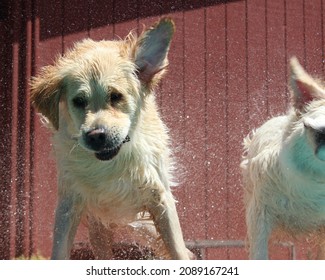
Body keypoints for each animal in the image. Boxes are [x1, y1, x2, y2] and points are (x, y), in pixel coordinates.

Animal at [29, 18, 192, 260]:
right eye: (79, 101)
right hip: (99, 226)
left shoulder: (159, 197)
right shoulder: (69, 203)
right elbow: (59, 250)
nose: (96, 136)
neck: (111, 164)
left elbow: (177, 250)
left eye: (116, 96)